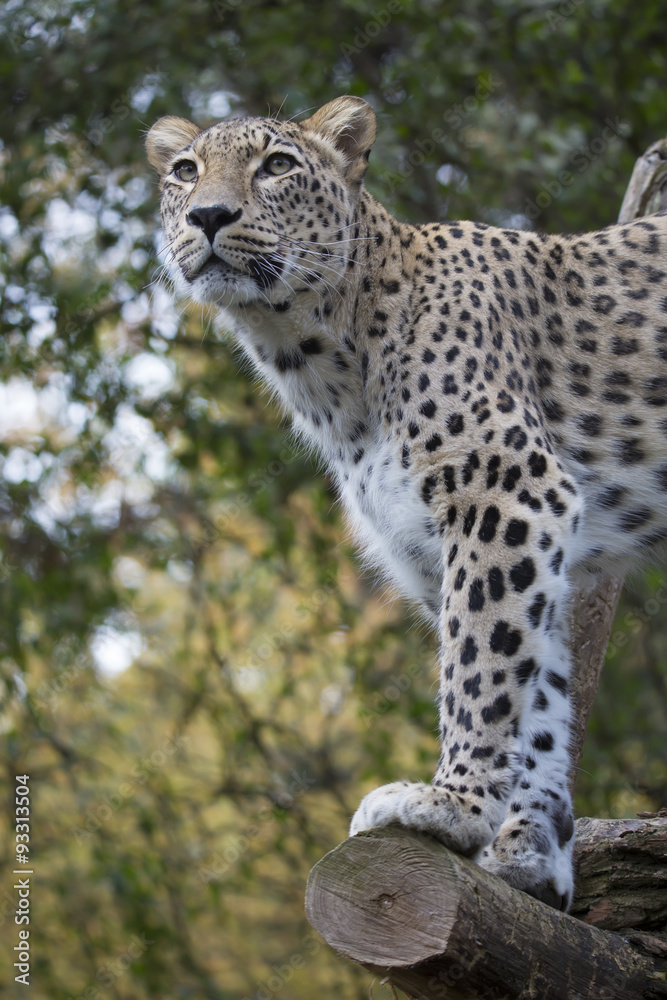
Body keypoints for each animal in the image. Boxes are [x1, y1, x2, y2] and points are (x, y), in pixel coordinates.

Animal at [146, 95, 667, 911]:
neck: (318, 365)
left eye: (276, 166)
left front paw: (450, 806)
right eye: (184, 171)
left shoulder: (507, 492)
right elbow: (539, 693)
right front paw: (529, 852)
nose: (207, 215)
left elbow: (479, 664)